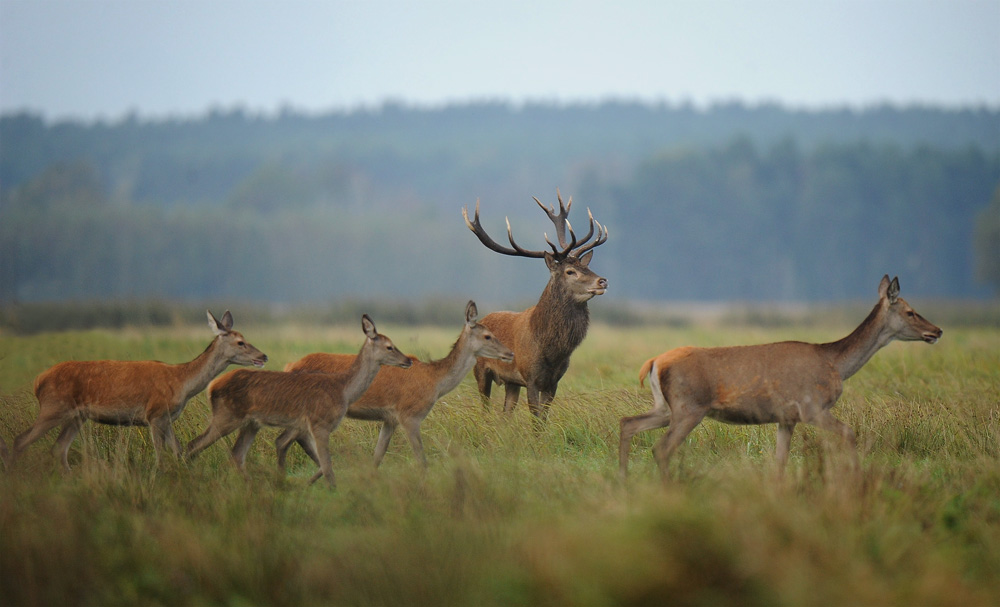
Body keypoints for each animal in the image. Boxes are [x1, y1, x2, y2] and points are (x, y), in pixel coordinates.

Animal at [9, 312, 268, 472]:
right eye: (240, 342)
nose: (263, 356)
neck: (182, 383)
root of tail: (38, 381)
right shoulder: (154, 414)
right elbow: (161, 457)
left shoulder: (167, 418)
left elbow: (178, 451)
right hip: (53, 407)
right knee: (20, 440)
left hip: (76, 416)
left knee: (58, 449)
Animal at [184, 316, 410, 486]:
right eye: (389, 346)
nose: (407, 360)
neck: (343, 390)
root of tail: (212, 386)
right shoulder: (320, 423)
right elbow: (327, 466)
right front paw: (331, 490)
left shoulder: (304, 425)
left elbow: (318, 461)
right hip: (227, 416)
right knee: (194, 445)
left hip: (250, 423)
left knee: (236, 455)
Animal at [282, 300, 516, 476]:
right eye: (488, 335)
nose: (510, 353)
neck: (435, 381)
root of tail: (288, 365)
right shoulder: (409, 414)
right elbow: (421, 459)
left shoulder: (390, 419)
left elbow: (378, 456)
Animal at [460, 191, 608, 422]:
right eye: (570, 271)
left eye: (587, 267)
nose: (602, 281)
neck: (551, 349)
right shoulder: (530, 377)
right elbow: (536, 420)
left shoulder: (553, 381)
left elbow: (544, 419)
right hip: (480, 370)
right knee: (485, 408)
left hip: (511, 383)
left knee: (506, 414)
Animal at [620, 276, 940, 484]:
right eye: (911, 311)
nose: (937, 331)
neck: (835, 364)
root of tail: (654, 362)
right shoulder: (811, 407)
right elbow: (849, 433)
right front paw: (857, 478)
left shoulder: (787, 417)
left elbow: (780, 460)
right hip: (689, 407)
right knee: (661, 448)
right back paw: (668, 488)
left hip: (666, 407)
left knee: (628, 423)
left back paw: (624, 481)